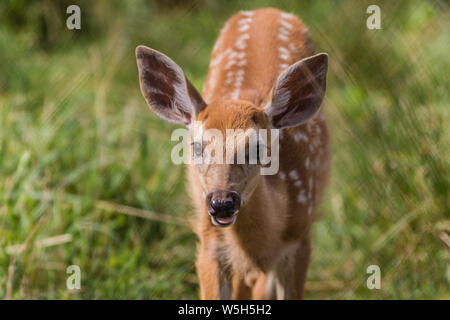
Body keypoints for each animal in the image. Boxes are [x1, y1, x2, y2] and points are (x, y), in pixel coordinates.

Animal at [135, 7, 328, 298]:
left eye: (258, 147)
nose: (222, 202)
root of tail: (266, 9)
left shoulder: (301, 237)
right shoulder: (209, 244)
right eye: (197, 146)